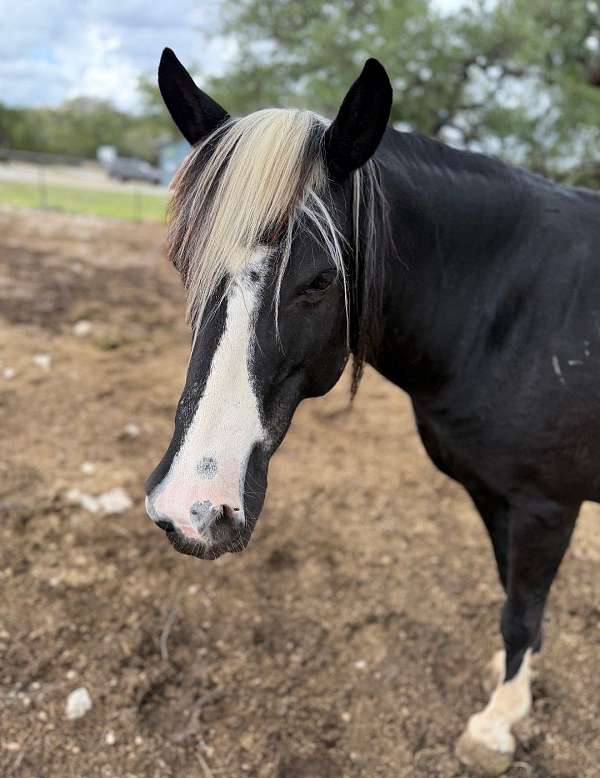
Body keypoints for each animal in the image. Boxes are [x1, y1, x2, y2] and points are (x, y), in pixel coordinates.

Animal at [146, 48, 600, 775]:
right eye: (186, 262)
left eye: (320, 280)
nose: (192, 508)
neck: (519, 309)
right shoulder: (497, 497)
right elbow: (515, 597)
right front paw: (516, 687)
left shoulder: (546, 505)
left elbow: (522, 609)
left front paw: (496, 724)